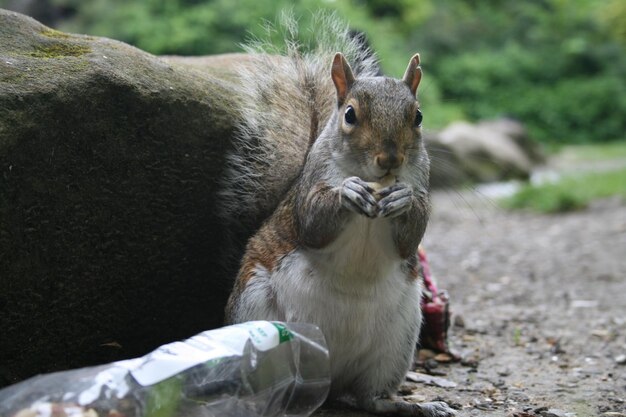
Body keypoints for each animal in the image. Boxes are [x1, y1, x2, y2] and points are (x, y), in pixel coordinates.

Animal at [219, 13, 454, 416]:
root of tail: (329, 377)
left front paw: (403, 200)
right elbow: (314, 223)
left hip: (398, 340)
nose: (390, 159)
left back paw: (412, 406)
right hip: (254, 308)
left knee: (370, 398)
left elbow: (411, 237)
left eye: (418, 116)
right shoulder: (308, 195)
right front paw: (348, 192)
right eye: (350, 114)